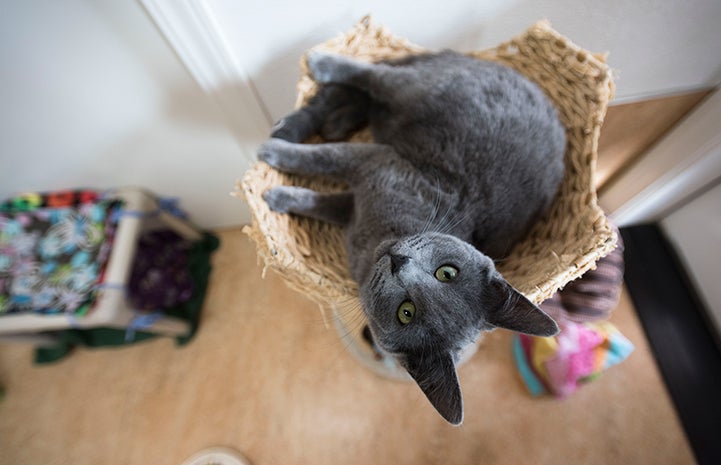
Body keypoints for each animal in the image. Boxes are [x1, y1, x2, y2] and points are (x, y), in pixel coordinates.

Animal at [256, 50, 564, 424]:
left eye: (407, 312)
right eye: (447, 272)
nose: (399, 262)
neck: (377, 238)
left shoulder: (363, 189)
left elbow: (324, 191)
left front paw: (276, 185)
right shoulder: (378, 163)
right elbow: (323, 160)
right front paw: (274, 168)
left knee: (371, 88)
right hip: (424, 91)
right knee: (371, 77)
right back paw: (319, 78)